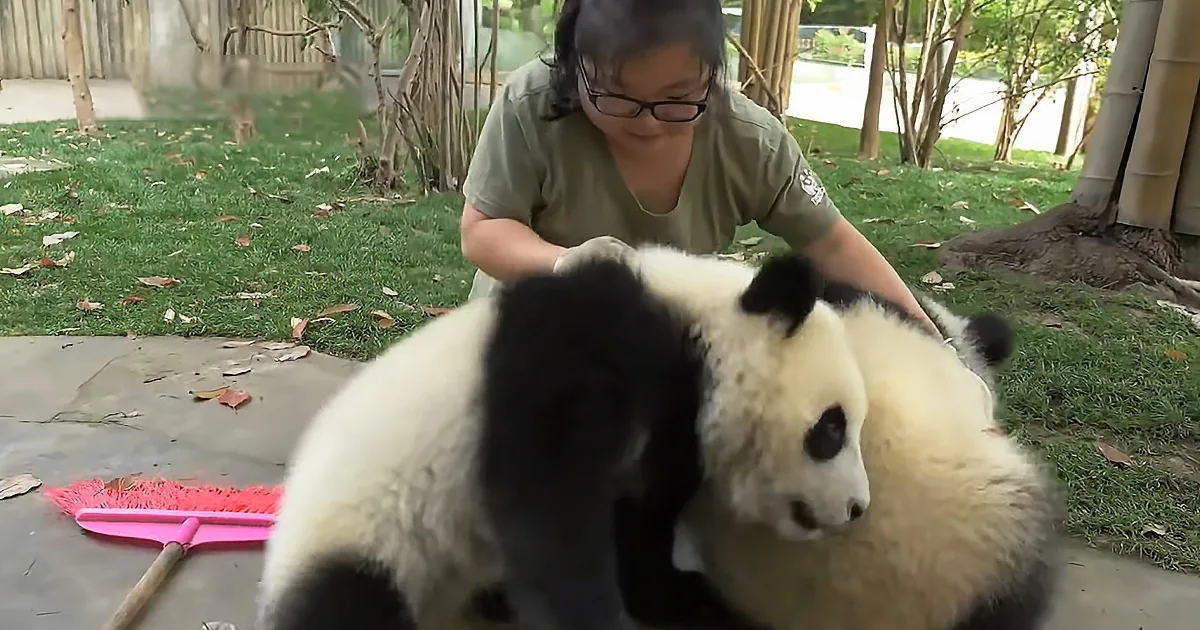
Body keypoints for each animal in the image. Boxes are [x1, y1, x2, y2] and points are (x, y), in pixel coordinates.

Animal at [256, 244, 873, 630]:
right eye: (832, 428)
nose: (857, 508)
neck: (694, 326)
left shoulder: (671, 429)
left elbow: (640, 520)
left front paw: (682, 595)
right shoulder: (575, 347)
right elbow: (548, 506)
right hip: (368, 535)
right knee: (348, 604)